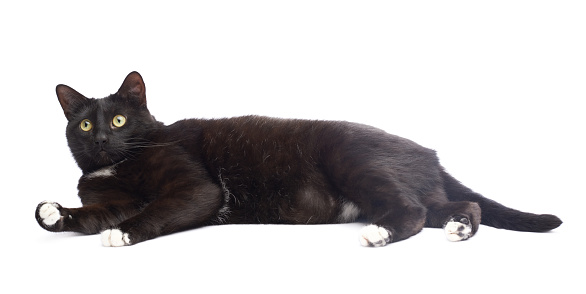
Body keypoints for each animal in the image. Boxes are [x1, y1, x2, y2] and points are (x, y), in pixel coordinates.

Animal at [34, 72, 560, 247]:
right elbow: (94, 212)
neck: (116, 166)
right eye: (85, 126)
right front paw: (54, 213)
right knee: (460, 206)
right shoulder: (110, 197)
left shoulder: (197, 188)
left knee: (411, 211)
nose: (102, 139)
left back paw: (380, 233)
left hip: (352, 156)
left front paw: (122, 234)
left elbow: (157, 209)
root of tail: (428, 153)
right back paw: (459, 227)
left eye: (119, 120)